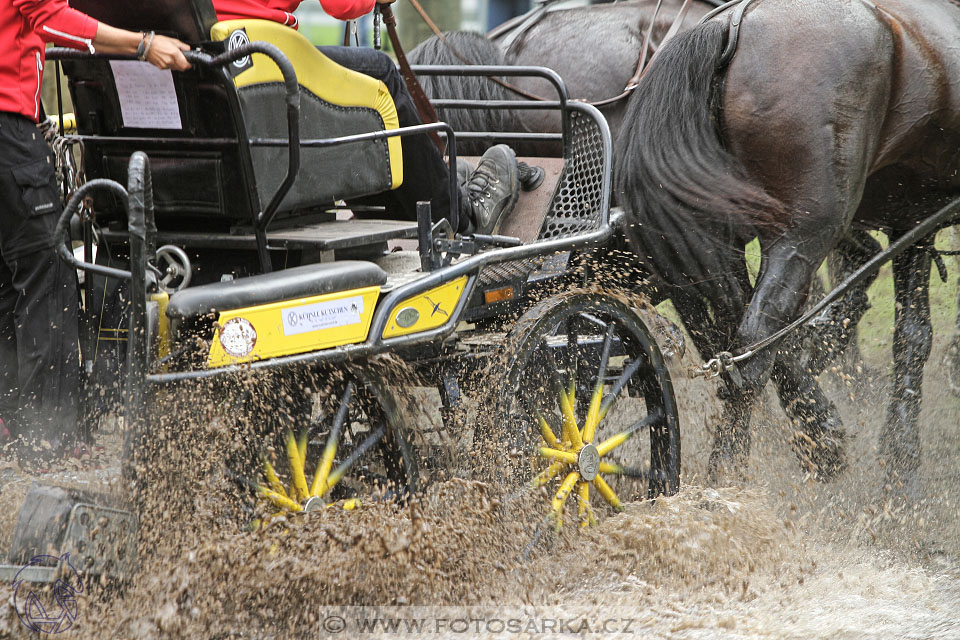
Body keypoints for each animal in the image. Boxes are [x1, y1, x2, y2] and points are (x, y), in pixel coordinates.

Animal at [616, 0, 960, 484]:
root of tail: (732, 24)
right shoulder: (916, 217)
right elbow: (912, 336)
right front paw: (902, 462)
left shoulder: (905, 217)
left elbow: (886, 317)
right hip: (804, 231)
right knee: (753, 348)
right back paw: (734, 474)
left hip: (717, 233)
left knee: (736, 330)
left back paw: (817, 433)